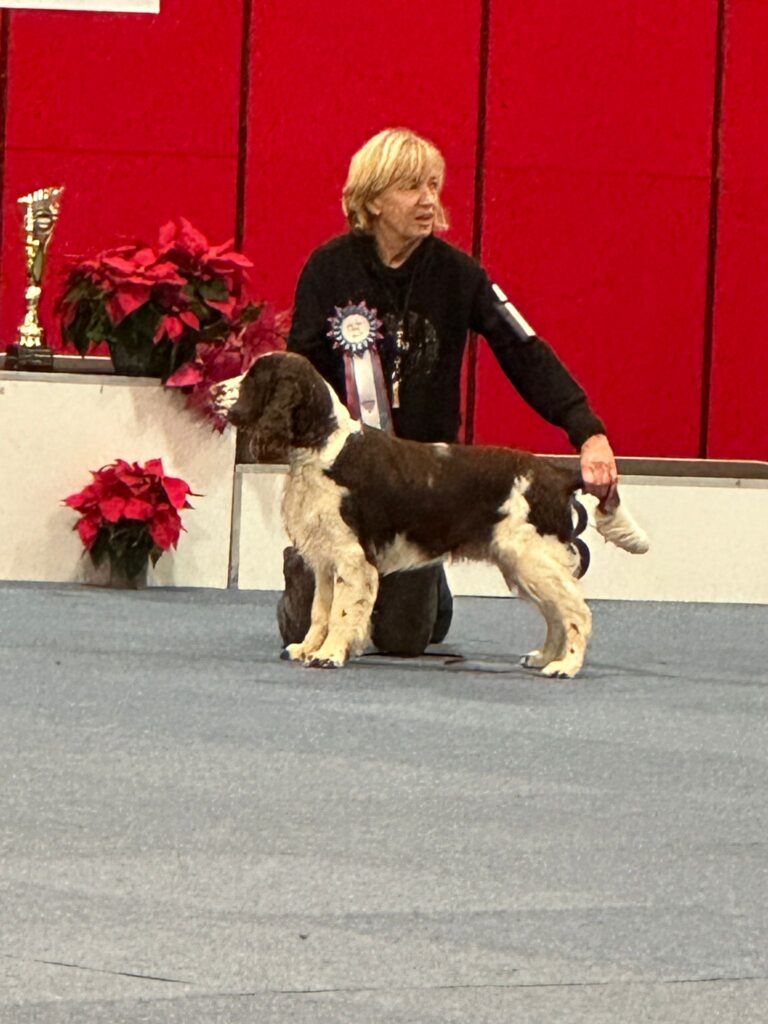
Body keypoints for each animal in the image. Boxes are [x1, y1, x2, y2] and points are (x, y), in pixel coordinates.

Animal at [221, 352, 651, 679]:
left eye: (254, 377)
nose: (213, 390)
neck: (323, 448)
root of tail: (557, 474)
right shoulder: (326, 558)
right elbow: (319, 611)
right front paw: (306, 648)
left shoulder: (352, 557)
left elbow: (342, 611)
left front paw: (329, 655)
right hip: (521, 564)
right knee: (556, 613)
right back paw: (545, 656)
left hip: (534, 557)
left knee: (576, 611)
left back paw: (565, 666)